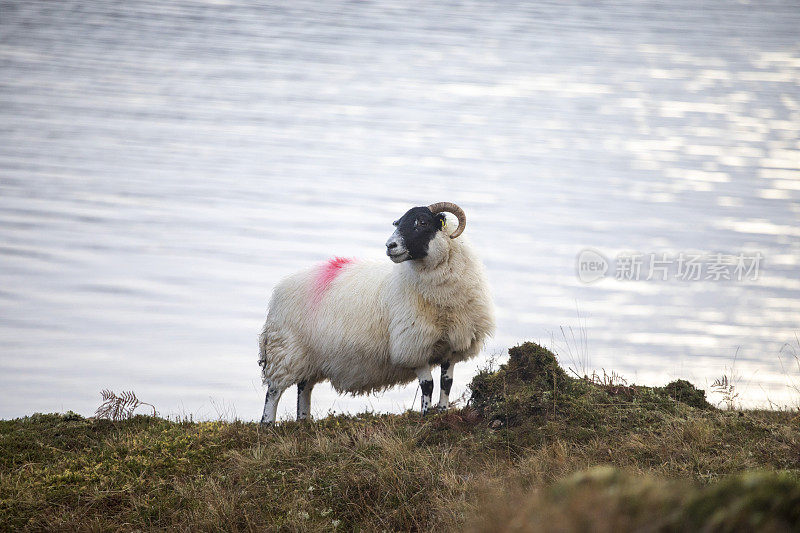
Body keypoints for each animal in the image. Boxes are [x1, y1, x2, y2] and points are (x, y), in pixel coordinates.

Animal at [258, 202, 494, 422]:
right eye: (398, 223)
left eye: (423, 222)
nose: (390, 245)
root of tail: (279, 290)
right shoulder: (413, 346)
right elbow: (428, 385)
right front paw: (426, 417)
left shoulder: (452, 347)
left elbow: (446, 383)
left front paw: (442, 413)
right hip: (286, 350)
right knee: (274, 391)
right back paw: (268, 424)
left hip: (310, 356)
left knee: (304, 386)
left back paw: (303, 422)